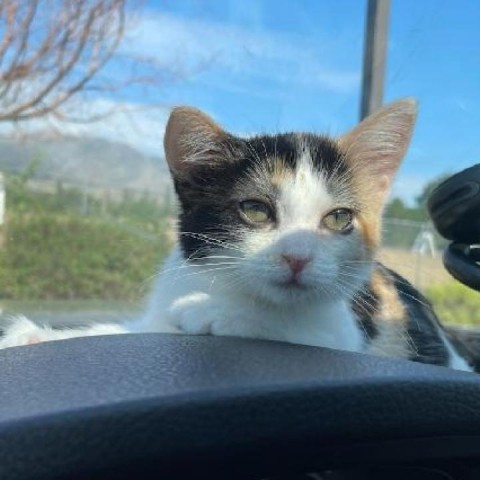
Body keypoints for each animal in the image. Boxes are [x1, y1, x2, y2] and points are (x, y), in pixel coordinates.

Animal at [0, 100, 472, 372]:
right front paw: (40, 336)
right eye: (255, 210)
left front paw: (207, 310)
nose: (298, 257)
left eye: (339, 219)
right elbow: (135, 330)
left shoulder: (345, 335)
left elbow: (295, 328)